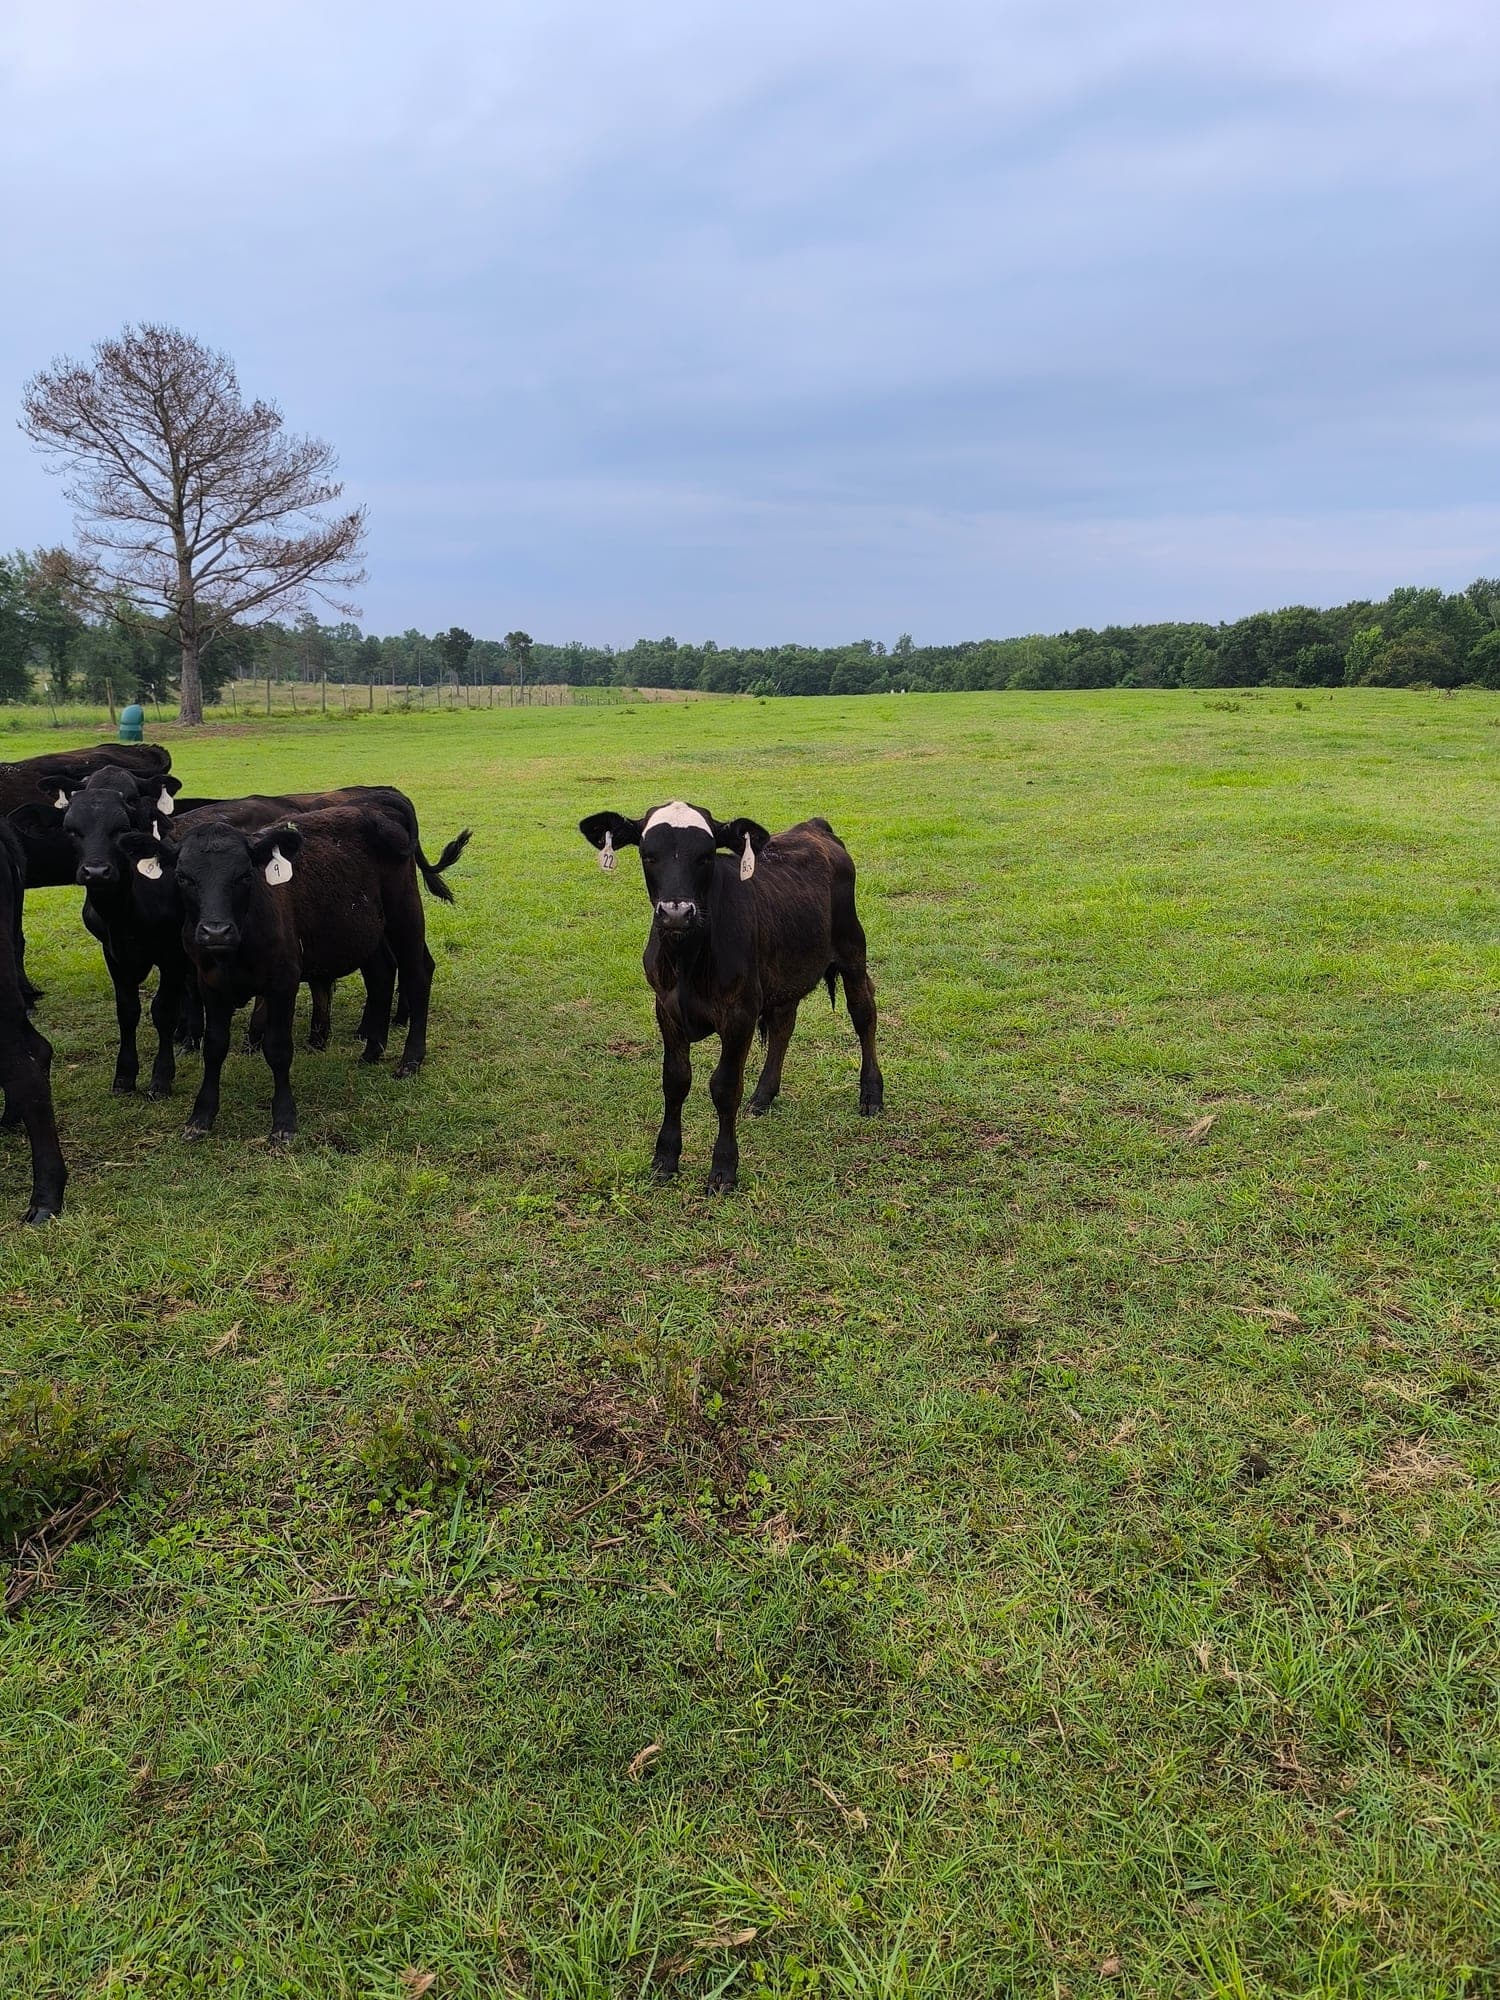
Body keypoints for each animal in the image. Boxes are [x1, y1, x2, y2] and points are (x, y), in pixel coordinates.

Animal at [121, 804, 464, 1143]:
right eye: (183, 877)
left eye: (244, 875)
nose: (215, 932)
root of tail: (379, 813)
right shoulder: (210, 984)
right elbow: (214, 1047)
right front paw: (201, 1116)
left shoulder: (283, 981)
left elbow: (278, 1049)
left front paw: (284, 1120)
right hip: (366, 929)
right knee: (381, 975)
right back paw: (372, 1051)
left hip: (404, 913)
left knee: (417, 975)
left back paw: (411, 1059)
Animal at [578, 801, 883, 1192]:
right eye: (648, 854)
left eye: (706, 855)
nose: (676, 912)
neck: (687, 961)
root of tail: (813, 826)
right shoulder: (666, 1009)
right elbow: (675, 1080)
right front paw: (665, 1159)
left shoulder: (740, 1013)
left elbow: (724, 1087)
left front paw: (723, 1168)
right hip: (783, 969)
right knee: (783, 1026)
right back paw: (763, 1096)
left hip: (852, 949)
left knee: (863, 1013)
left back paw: (871, 1094)